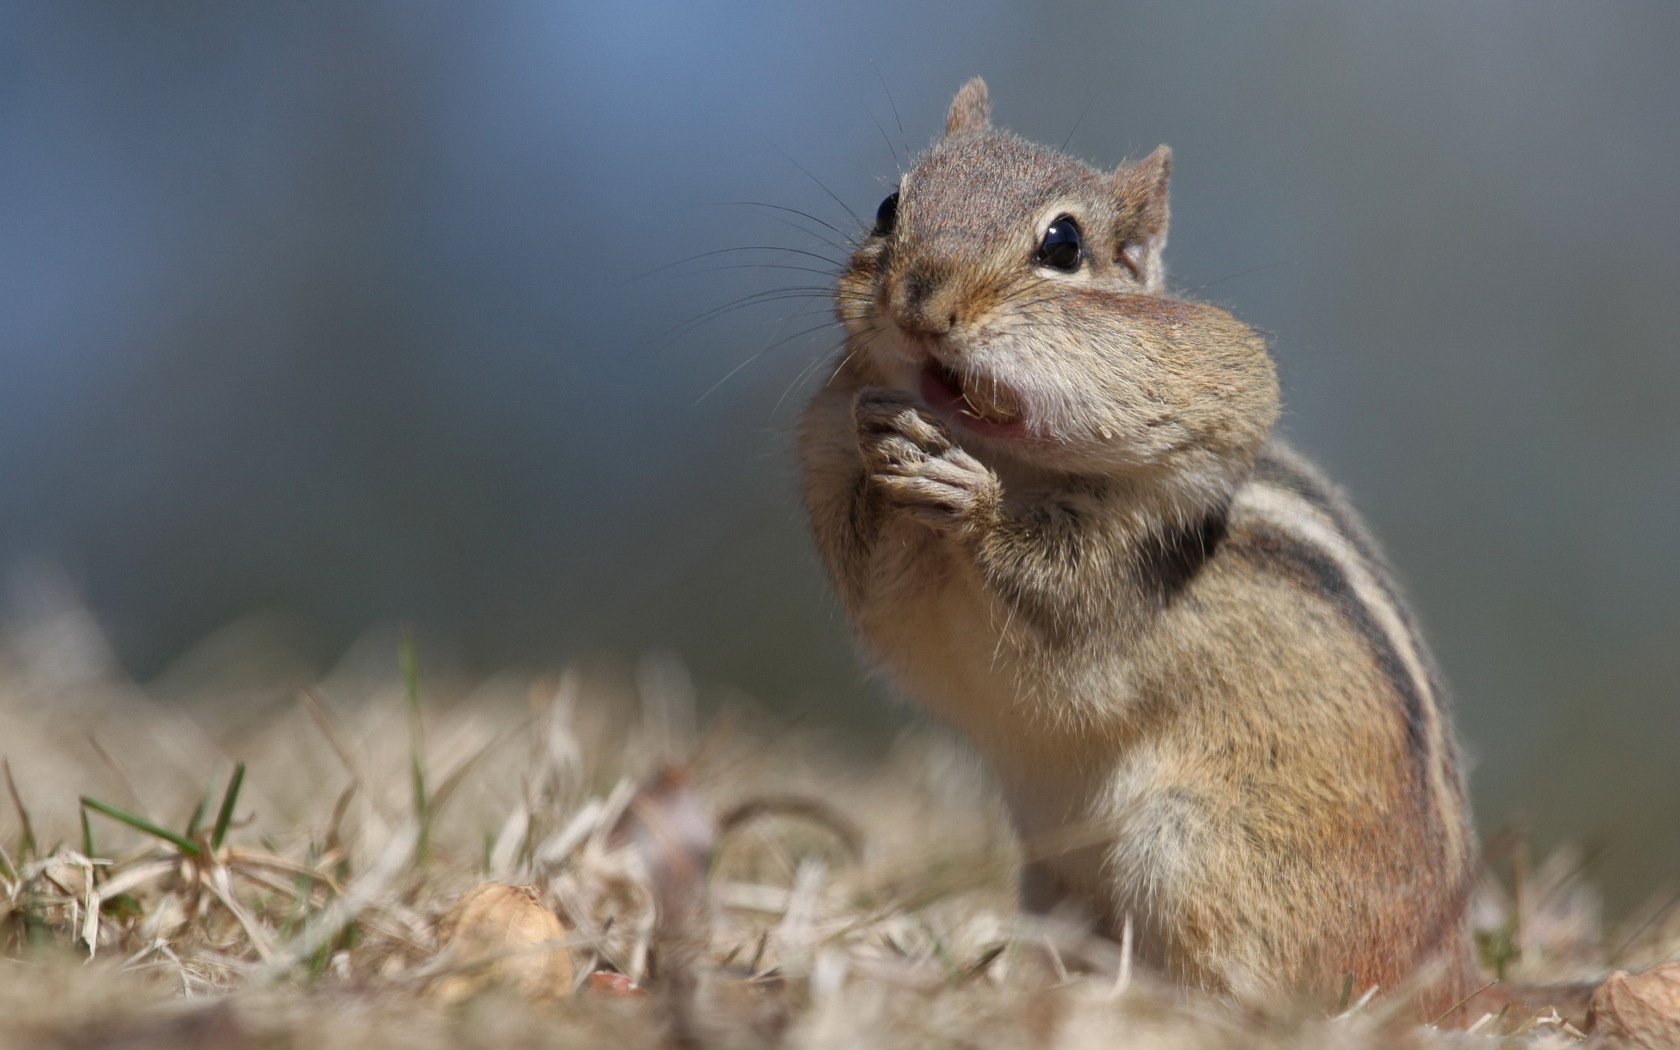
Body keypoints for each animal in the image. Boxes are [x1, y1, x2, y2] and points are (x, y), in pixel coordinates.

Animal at [798, 78, 1484, 1015]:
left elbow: (1063, 602)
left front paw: (973, 503)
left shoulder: (1134, 557)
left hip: (1189, 853)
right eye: (888, 206)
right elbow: (878, 578)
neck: (1018, 459)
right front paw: (885, 450)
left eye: (1063, 244)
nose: (920, 303)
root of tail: (1449, 979)